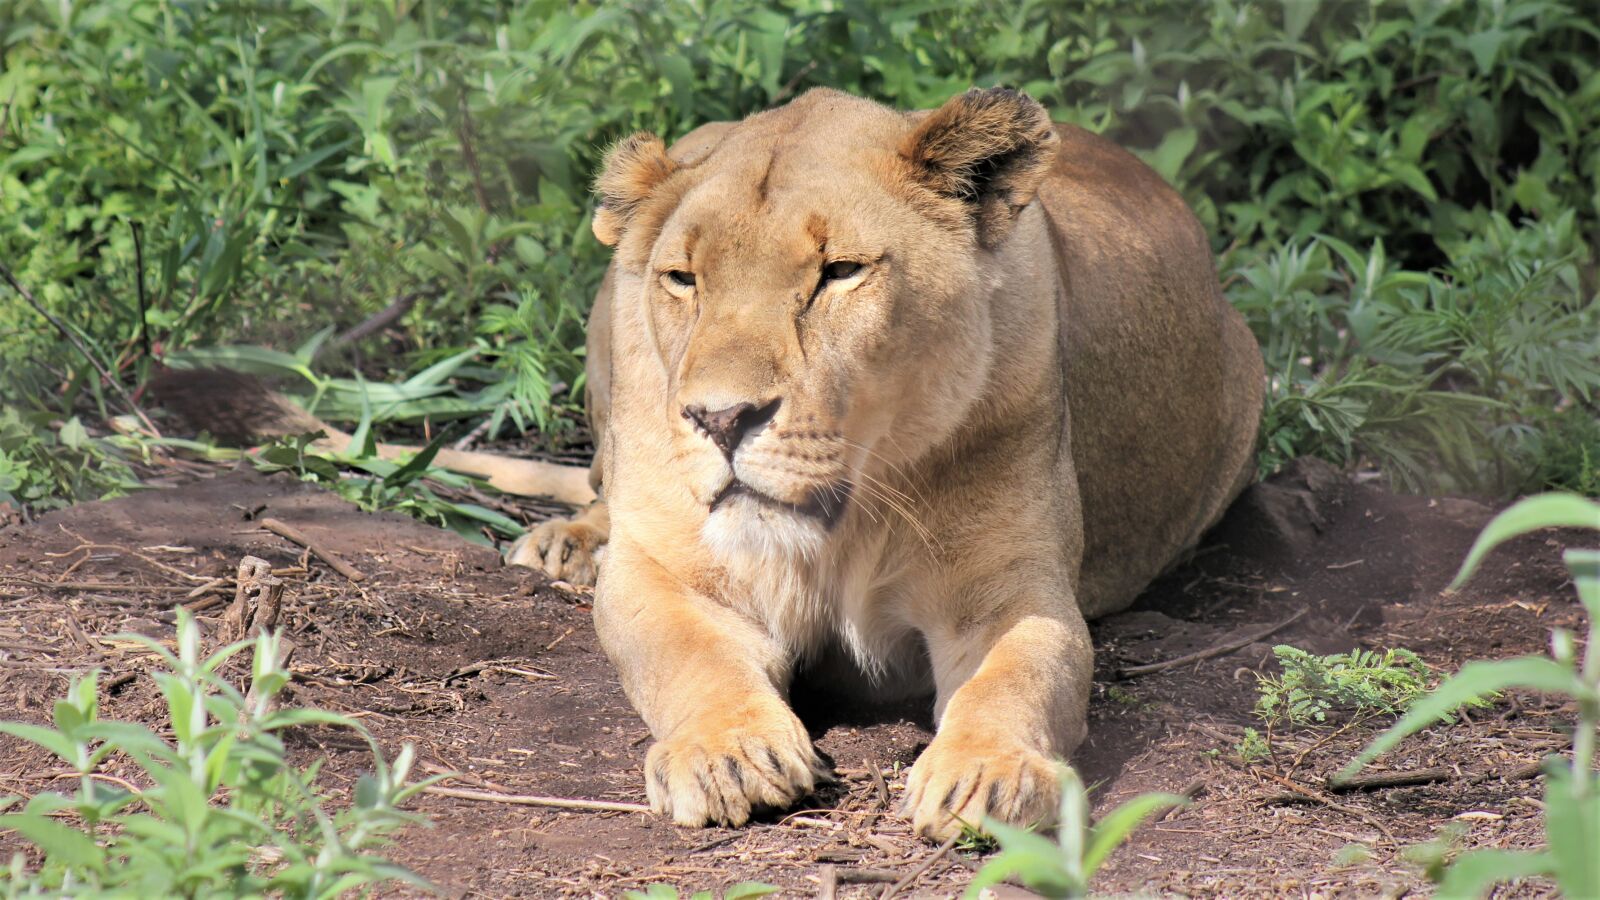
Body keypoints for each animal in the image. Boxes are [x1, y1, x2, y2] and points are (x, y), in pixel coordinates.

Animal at [505, 87, 1264, 840]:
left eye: (841, 272)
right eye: (682, 279)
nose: (720, 419)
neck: (845, 521)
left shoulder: (1008, 588)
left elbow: (1016, 673)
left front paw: (988, 774)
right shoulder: (670, 573)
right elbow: (689, 656)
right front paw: (728, 755)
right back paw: (566, 542)